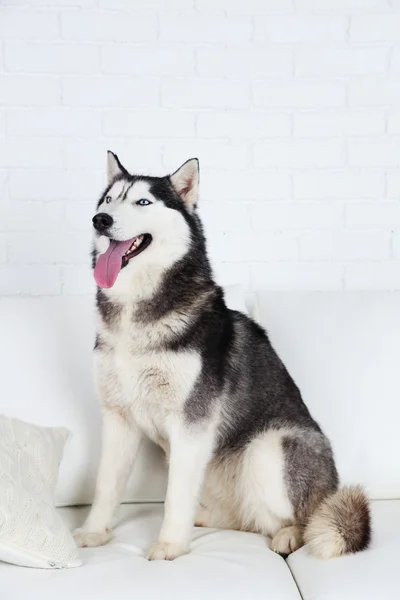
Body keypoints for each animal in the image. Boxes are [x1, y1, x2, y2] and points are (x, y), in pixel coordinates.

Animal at [73, 152, 370, 560]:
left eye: (143, 202)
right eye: (108, 200)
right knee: (245, 519)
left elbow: (173, 496)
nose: (100, 220)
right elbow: (106, 485)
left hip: (267, 448)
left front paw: (170, 544)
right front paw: (95, 532)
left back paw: (291, 535)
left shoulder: (190, 425)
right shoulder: (119, 418)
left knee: (306, 519)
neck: (137, 310)